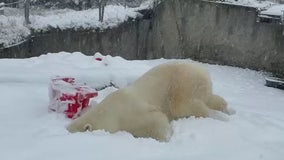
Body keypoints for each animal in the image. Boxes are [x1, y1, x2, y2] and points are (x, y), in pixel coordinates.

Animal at [66, 61, 229, 141]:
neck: (110, 112)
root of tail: (202, 69)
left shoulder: (130, 110)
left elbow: (155, 118)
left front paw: (167, 137)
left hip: (183, 81)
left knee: (183, 105)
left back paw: (219, 116)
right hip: (197, 84)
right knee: (208, 98)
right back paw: (228, 110)